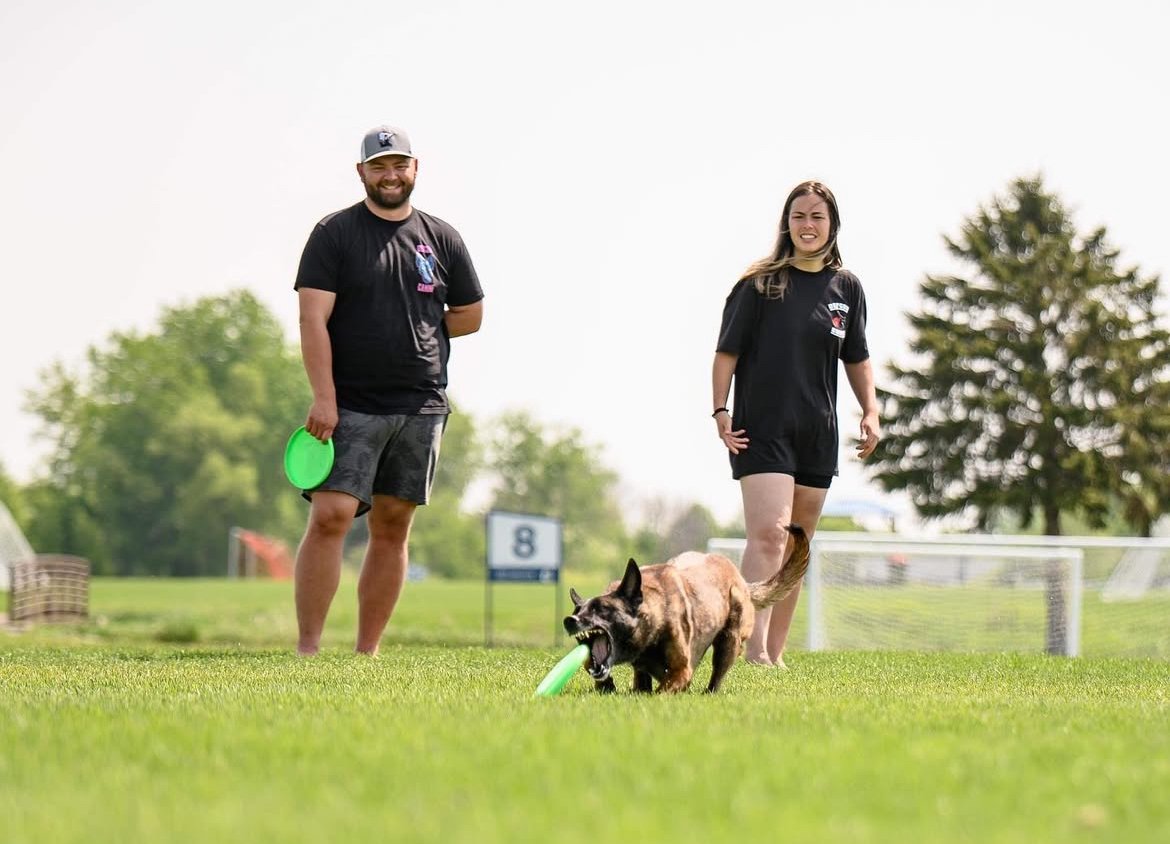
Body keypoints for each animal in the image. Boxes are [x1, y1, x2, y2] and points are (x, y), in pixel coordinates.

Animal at [563, 524, 810, 694]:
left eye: (602, 609)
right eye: (577, 611)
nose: (569, 621)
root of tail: (741, 580)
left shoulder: (681, 671)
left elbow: (661, 691)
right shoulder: (641, 671)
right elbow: (637, 685)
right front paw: (607, 685)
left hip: (729, 640)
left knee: (717, 676)